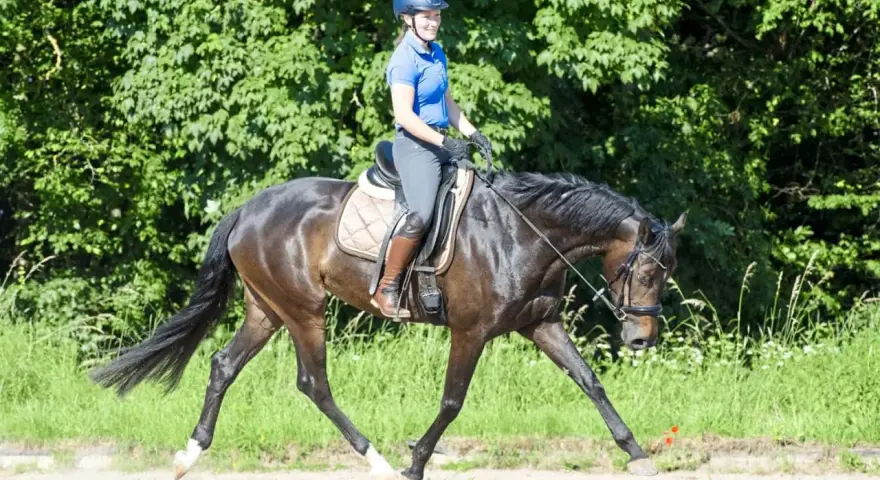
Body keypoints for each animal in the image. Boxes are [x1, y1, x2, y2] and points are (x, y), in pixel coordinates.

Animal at [89, 160, 686, 480]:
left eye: (667, 272)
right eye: (645, 271)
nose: (642, 339)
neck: (521, 233)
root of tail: (247, 209)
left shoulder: (541, 325)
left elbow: (589, 381)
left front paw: (638, 455)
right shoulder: (471, 332)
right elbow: (452, 401)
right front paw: (415, 461)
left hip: (267, 309)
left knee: (223, 366)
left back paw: (188, 455)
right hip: (303, 310)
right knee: (314, 383)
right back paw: (374, 458)